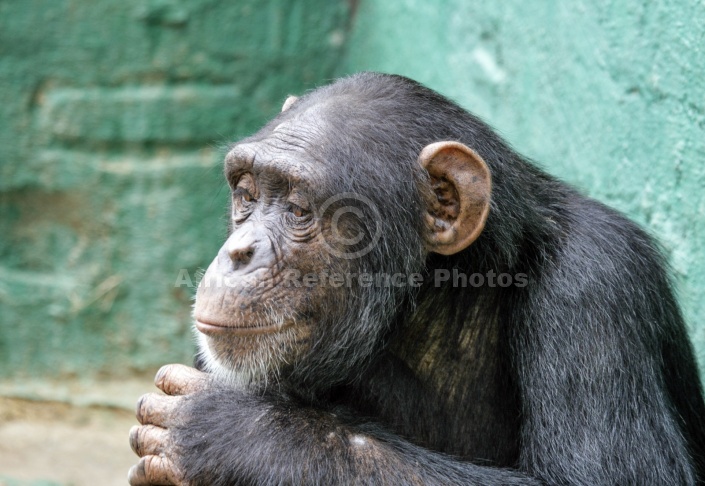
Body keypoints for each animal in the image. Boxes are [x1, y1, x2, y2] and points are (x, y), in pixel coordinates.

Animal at [128, 73, 704, 486]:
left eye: (297, 208)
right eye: (247, 193)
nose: (237, 253)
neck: (436, 297)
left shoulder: (594, 280)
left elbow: (609, 477)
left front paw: (231, 431)